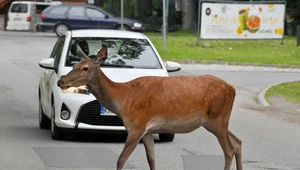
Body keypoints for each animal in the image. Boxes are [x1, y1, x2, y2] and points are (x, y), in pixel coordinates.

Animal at [57, 44, 243, 170]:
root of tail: (233, 88)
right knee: (238, 142)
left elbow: (121, 159)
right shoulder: (148, 131)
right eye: (73, 65)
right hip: (215, 122)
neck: (122, 99)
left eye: (85, 68)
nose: (61, 81)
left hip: (217, 118)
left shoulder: (137, 127)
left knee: (229, 150)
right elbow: (151, 160)